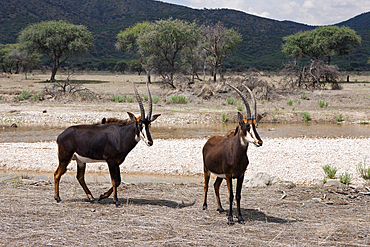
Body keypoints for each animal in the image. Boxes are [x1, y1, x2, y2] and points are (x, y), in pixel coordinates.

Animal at [202, 83, 264, 226]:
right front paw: (230, 219)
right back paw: (204, 206)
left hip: (220, 175)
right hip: (206, 169)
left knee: (215, 186)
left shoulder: (241, 175)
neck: (236, 155)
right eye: (247, 126)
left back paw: (220, 208)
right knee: (206, 185)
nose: (259, 142)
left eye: (256, 125)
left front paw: (239, 217)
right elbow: (230, 196)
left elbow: (238, 196)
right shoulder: (229, 176)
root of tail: (208, 141)